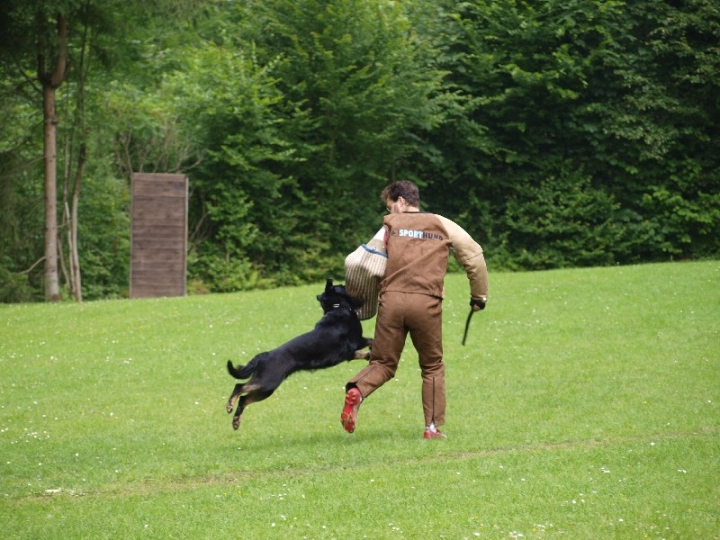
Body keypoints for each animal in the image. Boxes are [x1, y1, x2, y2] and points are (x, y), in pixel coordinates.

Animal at [225, 278, 372, 430]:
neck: (337, 307)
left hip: (266, 389)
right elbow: (371, 340)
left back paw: (236, 420)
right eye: (342, 286)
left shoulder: (348, 353)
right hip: (267, 382)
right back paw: (229, 405)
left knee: (244, 399)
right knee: (239, 387)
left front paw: (369, 355)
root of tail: (263, 356)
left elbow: (362, 353)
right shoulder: (357, 342)